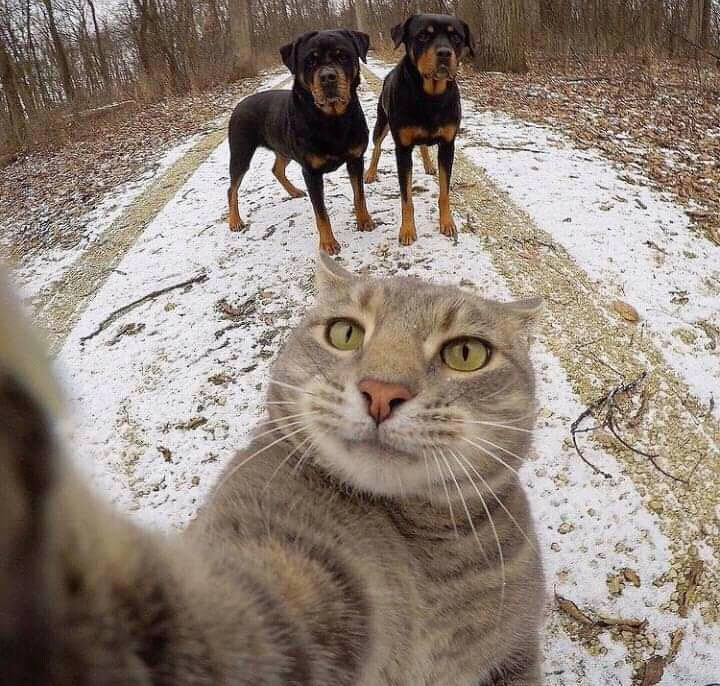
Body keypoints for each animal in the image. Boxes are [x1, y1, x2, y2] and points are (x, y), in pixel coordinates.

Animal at [226, 28, 374, 255]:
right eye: (310, 61)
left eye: (343, 56)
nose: (328, 77)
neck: (332, 120)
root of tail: (238, 106)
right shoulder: (311, 172)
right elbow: (321, 212)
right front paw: (328, 244)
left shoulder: (356, 159)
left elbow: (359, 195)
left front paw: (364, 221)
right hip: (241, 153)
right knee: (232, 188)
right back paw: (235, 221)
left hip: (283, 149)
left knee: (277, 169)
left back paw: (294, 191)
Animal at [366, 14, 472, 247]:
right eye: (422, 35)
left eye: (456, 37)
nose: (444, 53)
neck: (430, 97)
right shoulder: (402, 149)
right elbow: (406, 197)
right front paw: (407, 230)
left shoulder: (448, 144)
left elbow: (444, 191)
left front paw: (447, 223)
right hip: (381, 122)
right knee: (377, 147)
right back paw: (369, 173)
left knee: (423, 145)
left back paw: (428, 165)